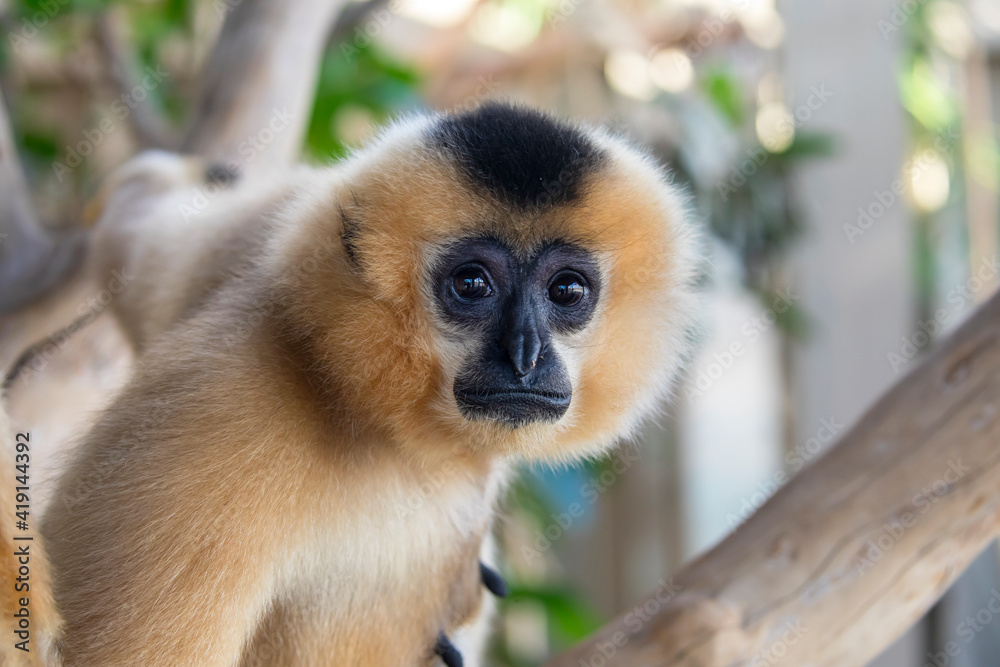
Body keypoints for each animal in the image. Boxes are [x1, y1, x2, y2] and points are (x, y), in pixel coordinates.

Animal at [2, 101, 699, 666]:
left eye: (567, 291)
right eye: (472, 283)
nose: (525, 356)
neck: (361, 400)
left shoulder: (269, 243)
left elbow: (150, 237)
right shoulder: (212, 423)